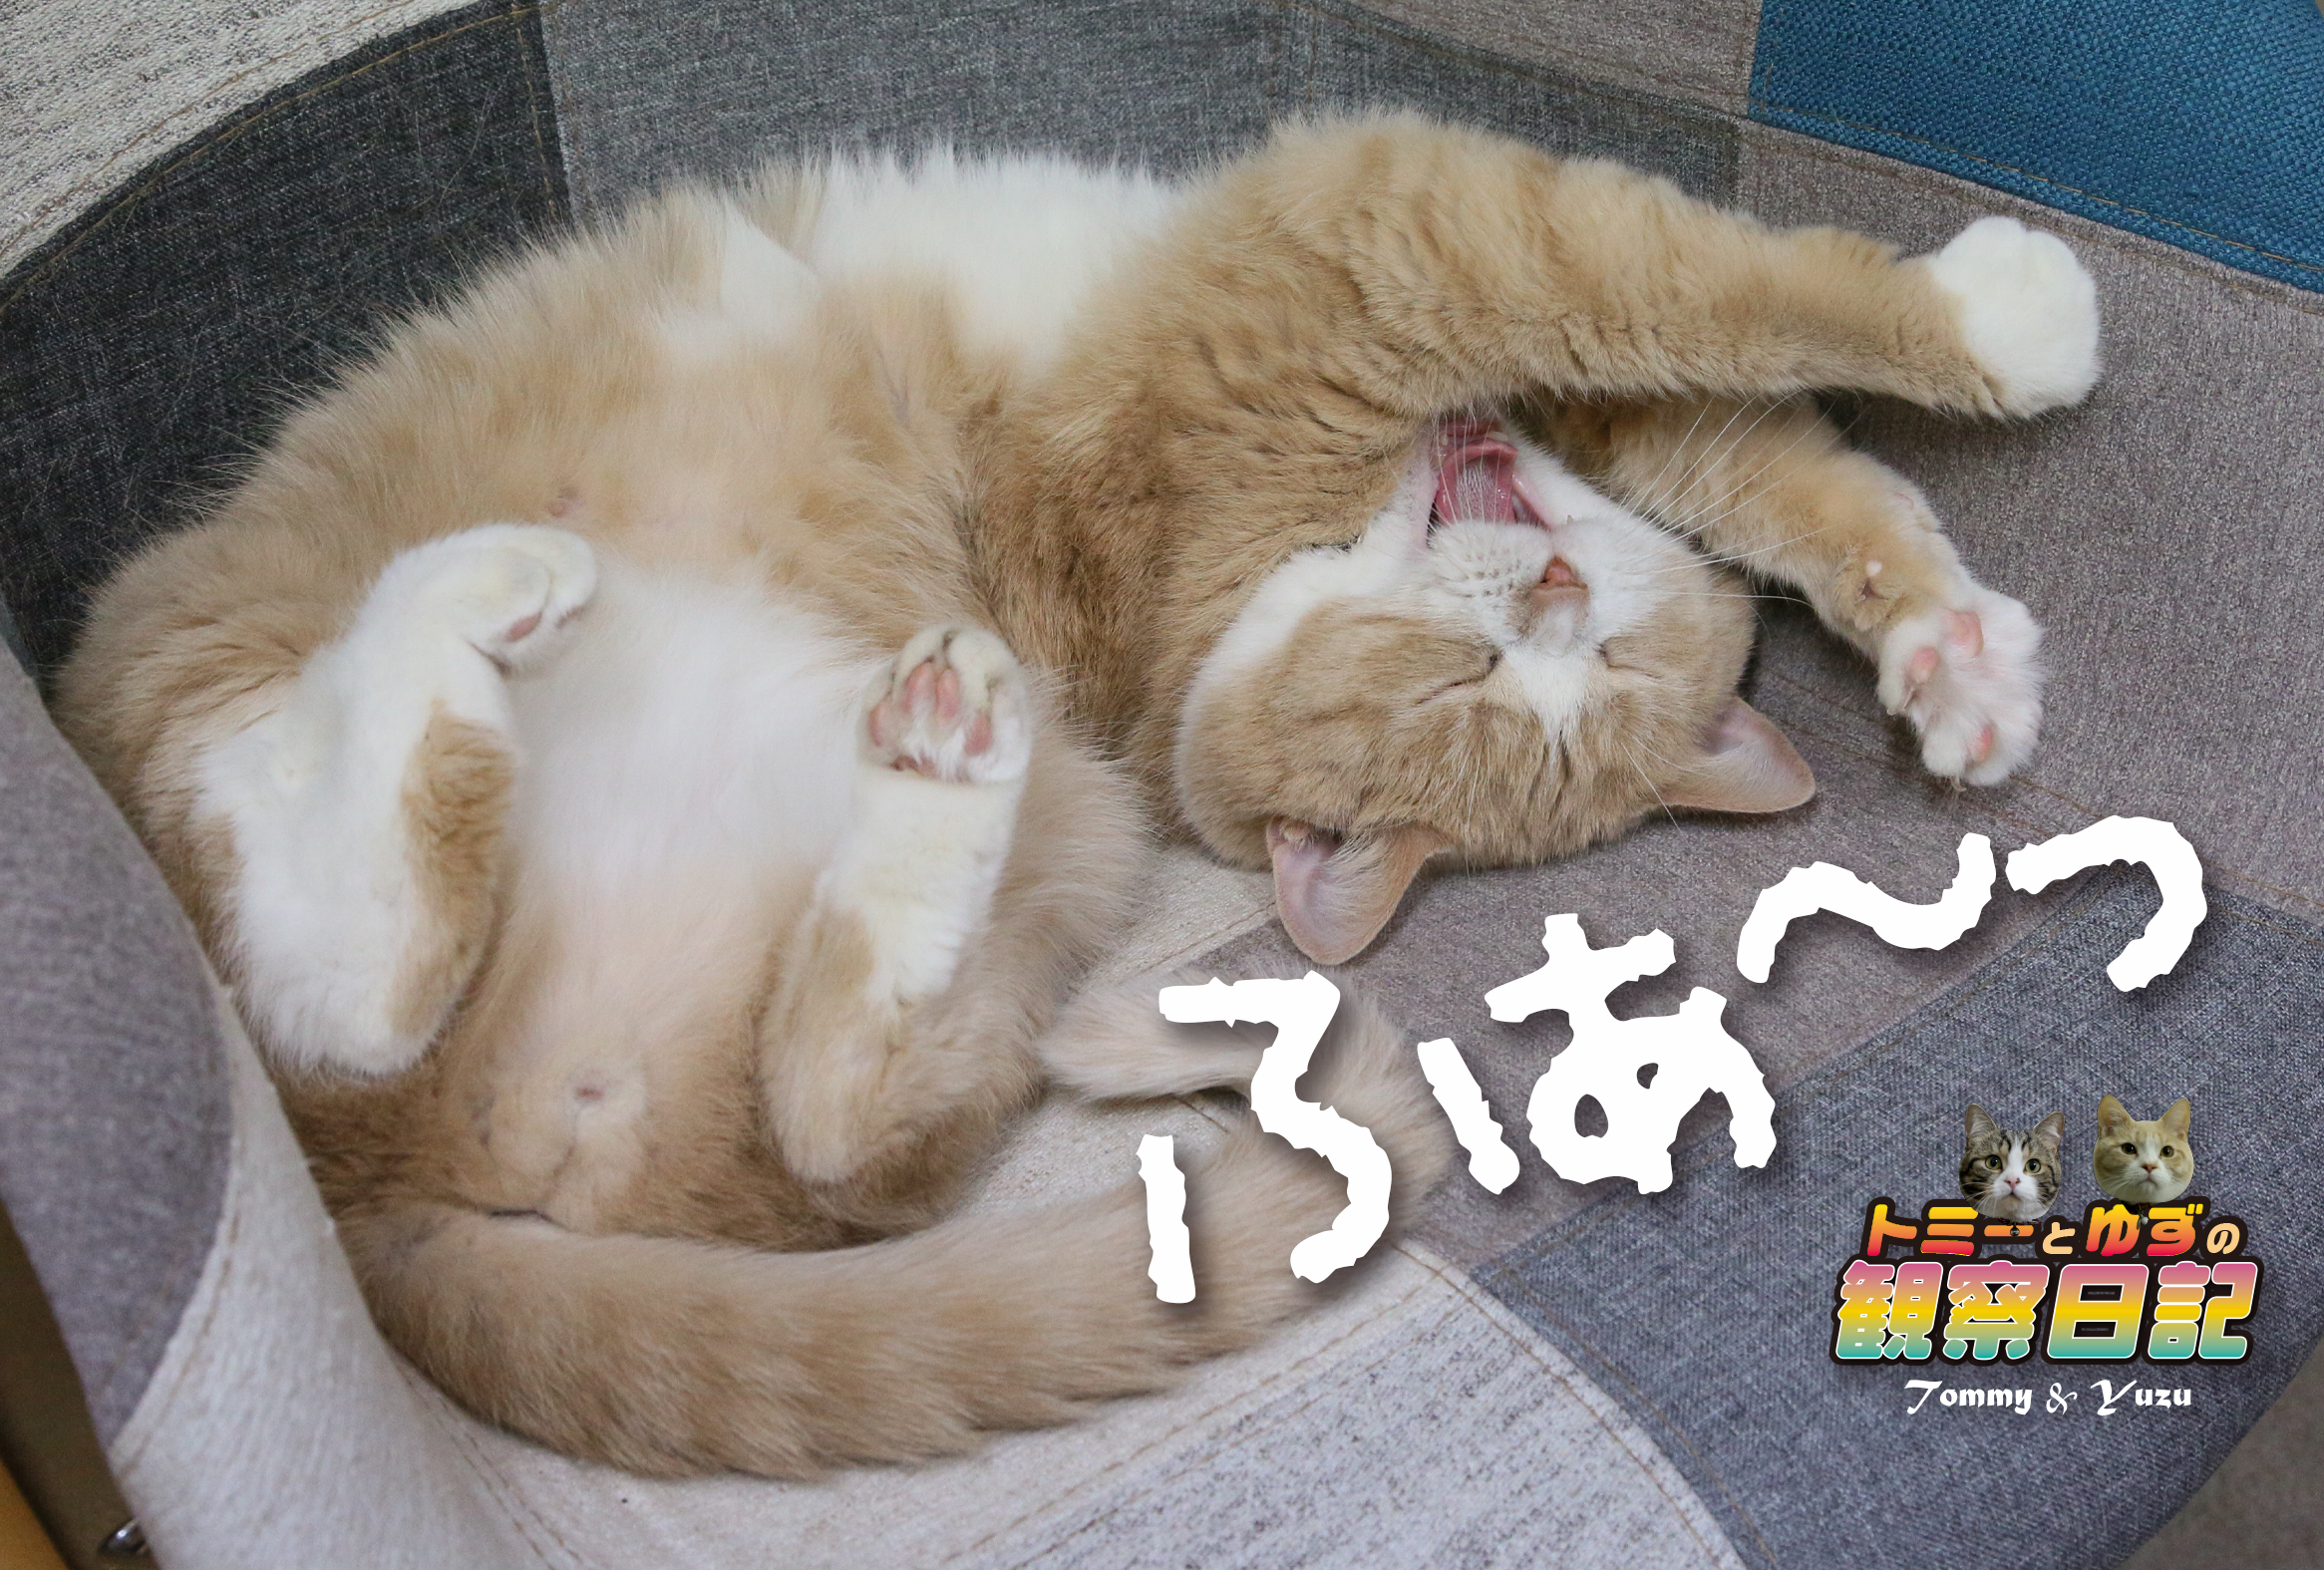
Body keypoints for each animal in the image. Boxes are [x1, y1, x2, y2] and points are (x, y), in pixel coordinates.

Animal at [55, 114, 2097, 1475]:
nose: (1542, 590)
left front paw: (1948, 655)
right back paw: (479, 603)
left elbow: (1750, 421)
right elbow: (1694, 301)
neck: (1214, 599)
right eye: (1475, 680)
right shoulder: (1384, 241)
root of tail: (384, 1197)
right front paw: (2007, 343)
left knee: (817, 1110)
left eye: (1596, 663)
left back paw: (919, 764)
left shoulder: (1432, 302)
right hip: (191, 676)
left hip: (1050, 849)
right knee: (337, 956)